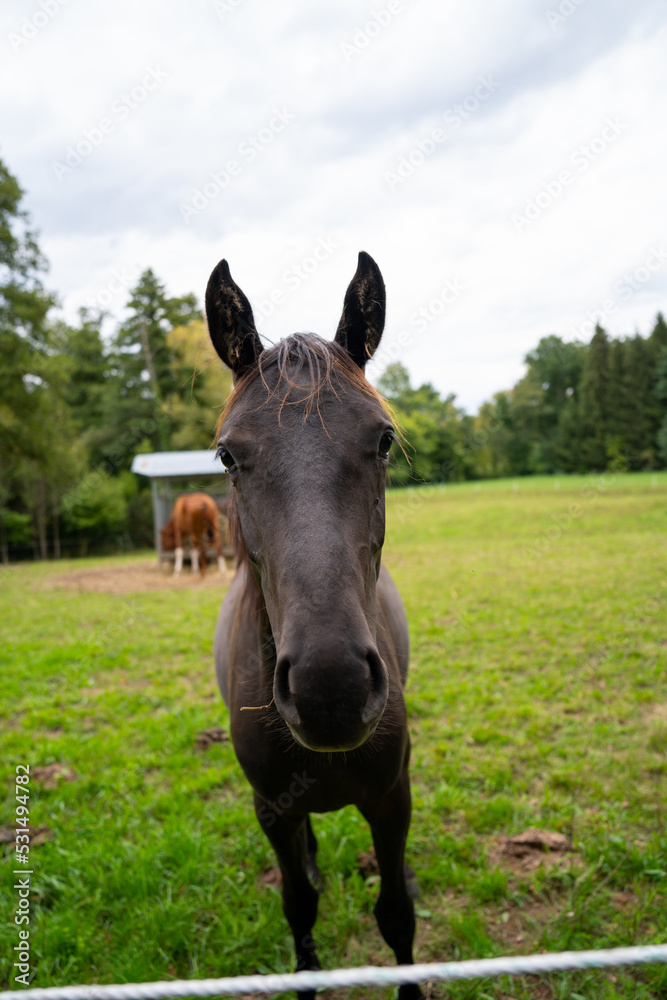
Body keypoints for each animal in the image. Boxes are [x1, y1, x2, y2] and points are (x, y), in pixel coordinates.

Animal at [206, 251, 421, 1000]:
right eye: (227, 455)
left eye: (383, 439)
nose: (332, 688)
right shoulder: (271, 809)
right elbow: (299, 907)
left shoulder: (391, 798)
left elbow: (397, 915)